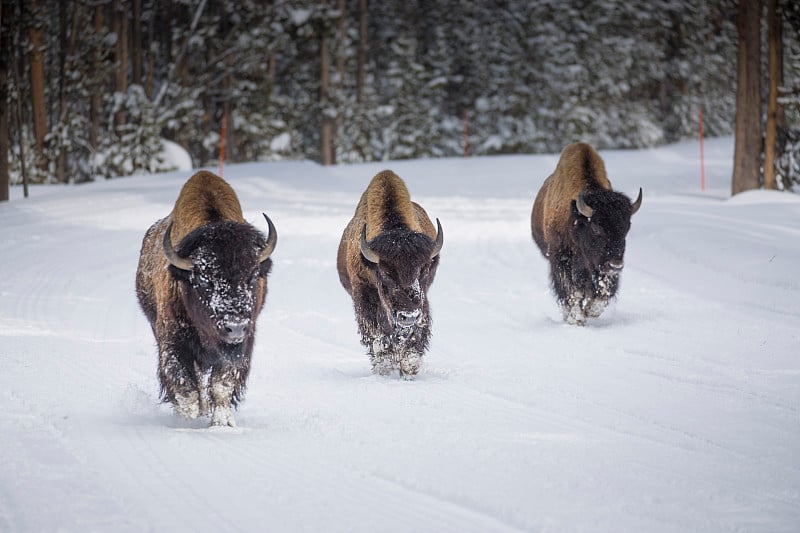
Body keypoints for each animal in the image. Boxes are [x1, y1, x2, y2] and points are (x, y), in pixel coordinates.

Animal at [136, 172, 276, 426]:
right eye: (203, 280)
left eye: (252, 276)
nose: (235, 327)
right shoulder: (173, 341)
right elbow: (185, 387)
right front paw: (188, 421)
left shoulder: (243, 344)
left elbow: (222, 384)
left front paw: (221, 423)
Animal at [334, 172, 440, 376]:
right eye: (385, 273)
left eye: (424, 270)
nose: (409, 316)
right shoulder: (363, 296)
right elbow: (376, 335)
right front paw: (386, 364)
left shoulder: (422, 302)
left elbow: (416, 330)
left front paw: (409, 364)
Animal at [532, 142, 644, 324]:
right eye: (596, 228)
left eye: (626, 228)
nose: (616, 265)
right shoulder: (560, 259)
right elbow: (571, 291)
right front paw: (576, 318)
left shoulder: (600, 269)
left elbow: (602, 292)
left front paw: (590, 311)